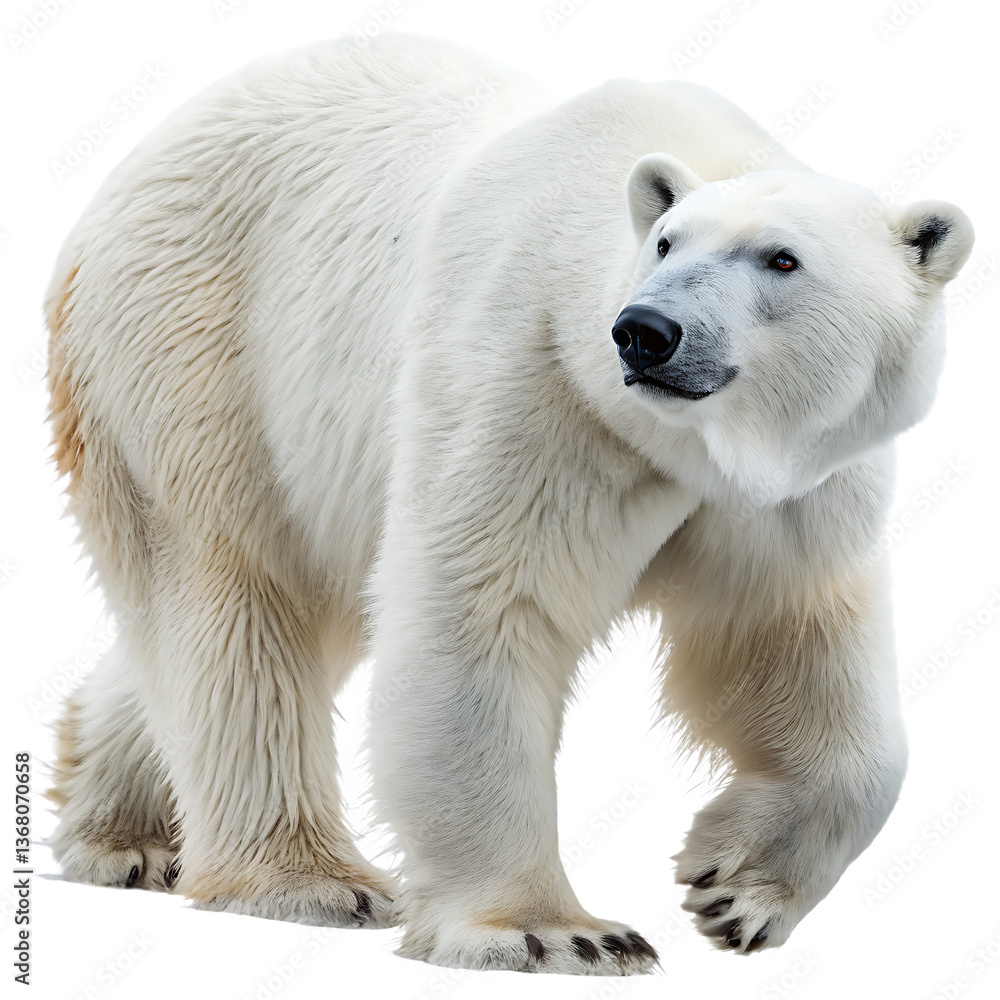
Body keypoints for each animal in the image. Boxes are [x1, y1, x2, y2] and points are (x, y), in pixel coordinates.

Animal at [43, 34, 973, 975]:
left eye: (782, 257)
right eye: (665, 245)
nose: (646, 331)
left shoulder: (790, 495)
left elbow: (789, 641)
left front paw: (736, 892)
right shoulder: (535, 378)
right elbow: (483, 608)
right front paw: (557, 932)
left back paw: (124, 833)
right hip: (197, 351)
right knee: (233, 587)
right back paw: (307, 880)